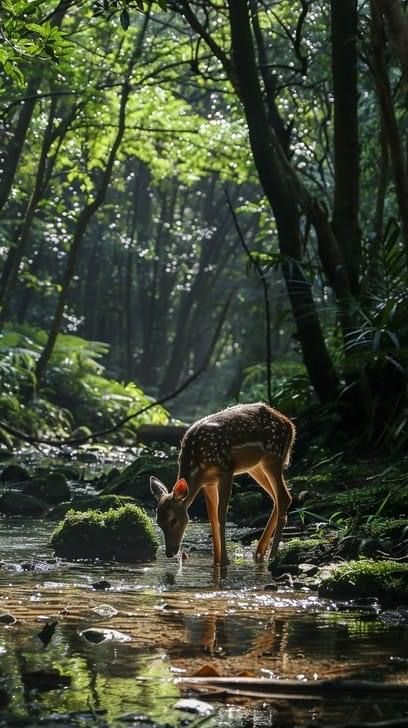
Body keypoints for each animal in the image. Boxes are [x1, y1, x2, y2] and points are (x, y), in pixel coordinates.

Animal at [148, 400, 294, 564]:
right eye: (158, 522)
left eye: (173, 521)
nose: (169, 553)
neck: (198, 464)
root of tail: (290, 425)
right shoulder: (208, 483)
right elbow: (212, 518)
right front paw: (216, 560)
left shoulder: (226, 469)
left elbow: (221, 514)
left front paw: (225, 560)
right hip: (255, 466)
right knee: (278, 499)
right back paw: (259, 552)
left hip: (273, 456)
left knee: (283, 497)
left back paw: (272, 555)